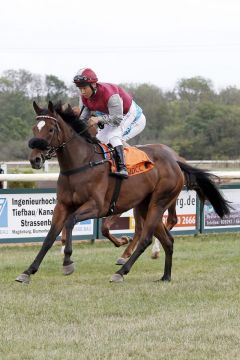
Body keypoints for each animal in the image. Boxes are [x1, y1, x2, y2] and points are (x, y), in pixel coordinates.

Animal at [15, 101, 230, 284]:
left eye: (50, 129)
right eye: (35, 128)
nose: (35, 159)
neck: (81, 163)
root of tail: (175, 161)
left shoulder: (97, 206)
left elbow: (70, 222)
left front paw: (68, 262)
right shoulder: (62, 206)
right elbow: (49, 237)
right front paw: (28, 271)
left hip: (159, 203)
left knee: (146, 237)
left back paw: (121, 271)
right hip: (145, 206)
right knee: (167, 240)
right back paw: (165, 276)